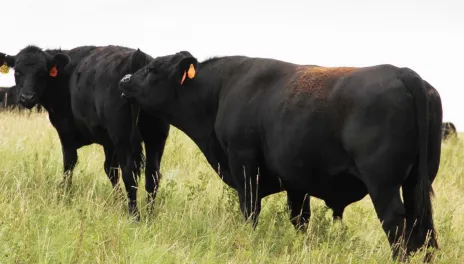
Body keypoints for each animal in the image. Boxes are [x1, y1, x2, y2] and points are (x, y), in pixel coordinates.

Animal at [0, 46, 170, 219]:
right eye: (17, 72)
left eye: (41, 72)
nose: (27, 97)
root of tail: (138, 57)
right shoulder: (108, 142)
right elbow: (110, 170)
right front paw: (119, 201)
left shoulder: (66, 132)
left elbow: (69, 164)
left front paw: (65, 197)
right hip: (157, 137)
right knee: (153, 175)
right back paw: (149, 215)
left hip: (123, 137)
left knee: (130, 174)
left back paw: (135, 216)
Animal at [118, 52, 442, 262]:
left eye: (153, 69)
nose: (124, 81)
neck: (222, 90)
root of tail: (404, 73)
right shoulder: (297, 182)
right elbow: (300, 219)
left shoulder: (244, 163)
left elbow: (250, 210)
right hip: (417, 182)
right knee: (422, 226)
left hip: (383, 184)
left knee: (397, 223)